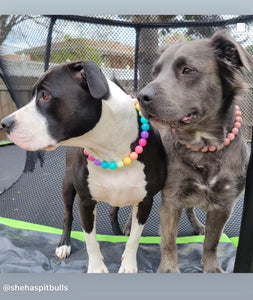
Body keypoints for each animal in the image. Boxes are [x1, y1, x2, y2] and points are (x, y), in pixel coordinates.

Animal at [1, 60, 169, 272]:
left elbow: (134, 239)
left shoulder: (145, 202)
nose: (5, 123)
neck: (110, 149)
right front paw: (96, 267)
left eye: (45, 95)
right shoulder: (85, 201)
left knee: (113, 211)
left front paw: (128, 264)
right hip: (67, 184)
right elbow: (90, 240)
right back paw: (64, 244)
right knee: (67, 216)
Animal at [137, 29, 253, 272]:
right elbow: (168, 241)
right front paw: (169, 269)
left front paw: (211, 267)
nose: (142, 96)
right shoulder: (171, 200)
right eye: (155, 73)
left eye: (187, 70)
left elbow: (212, 242)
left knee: (191, 209)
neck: (204, 147)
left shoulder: (223, 205)